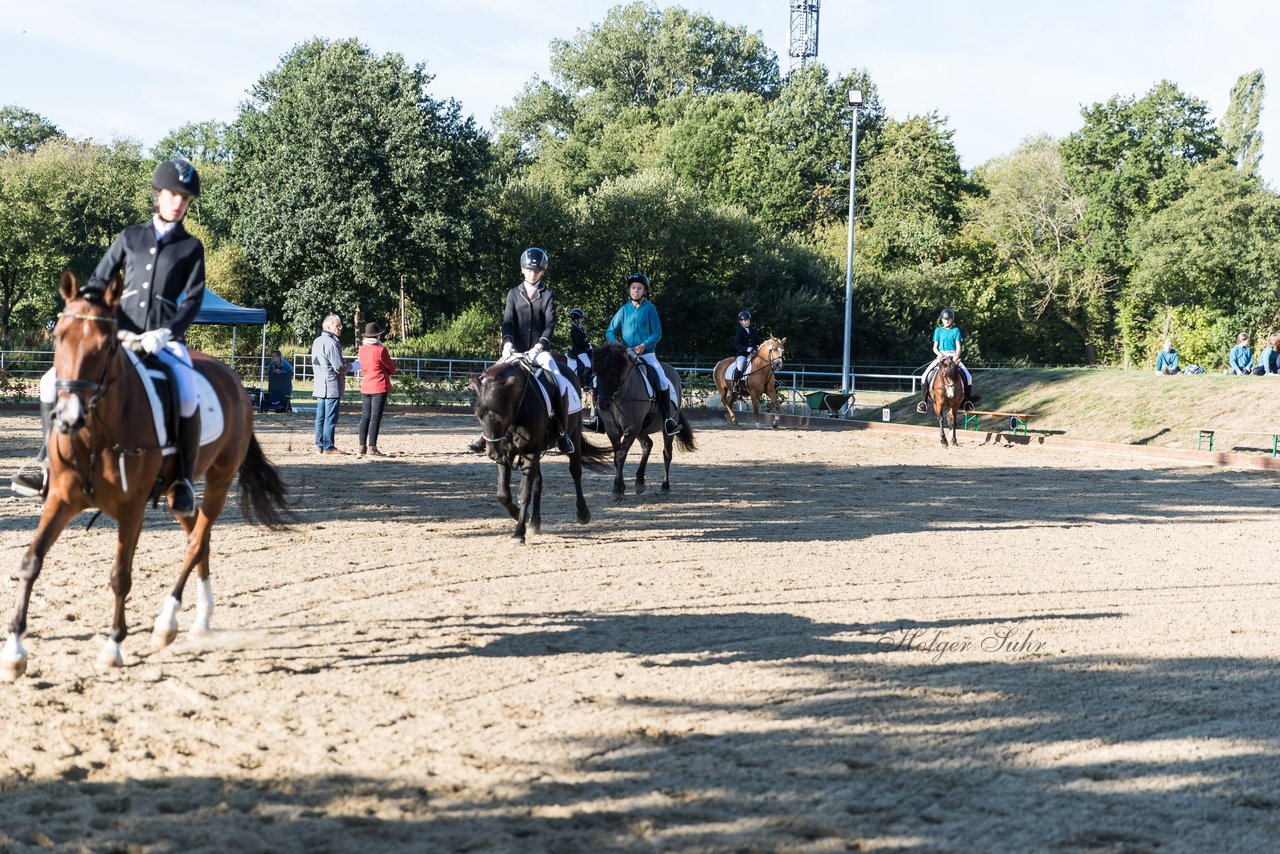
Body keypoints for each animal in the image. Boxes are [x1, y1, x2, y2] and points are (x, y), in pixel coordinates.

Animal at [0, 270, 289, 686]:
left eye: (106, 345)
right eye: (59, 338)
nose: (68, 418)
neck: (96, 429)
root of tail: (234, 380)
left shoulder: (132, 509)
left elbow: (121, 576)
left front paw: (113, 649)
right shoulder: (61, 499)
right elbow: (30, 562)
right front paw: (14, 654)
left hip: (220, 479)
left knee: (197, 540)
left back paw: (167, 624)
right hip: (175, 493)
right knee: (198, 535)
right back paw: (202, 619)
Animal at [473, 353, 611, 540]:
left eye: (502, 416)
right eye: (478, 415)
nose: (493, 453)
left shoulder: (530, 452)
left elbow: (524, 493)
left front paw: (519, 533)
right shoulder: (509, 453)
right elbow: (503, 494)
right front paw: (521, 517)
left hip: (573, 435)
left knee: (575, 472)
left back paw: (583, 513)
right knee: (538, 483)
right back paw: (535, 522)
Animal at [591, 343, 696, 496]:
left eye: (615, 373)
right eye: (597, 374)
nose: (603, 405)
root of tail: (673, 370)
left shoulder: (632, 428)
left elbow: (621, 454)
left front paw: (617, 489)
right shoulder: (612, 429)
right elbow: (617, 456)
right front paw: (621, 487)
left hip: (665, 428)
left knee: (667, 453)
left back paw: (665, 486)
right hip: (642, 429)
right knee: (647, 445)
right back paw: (640, 481)